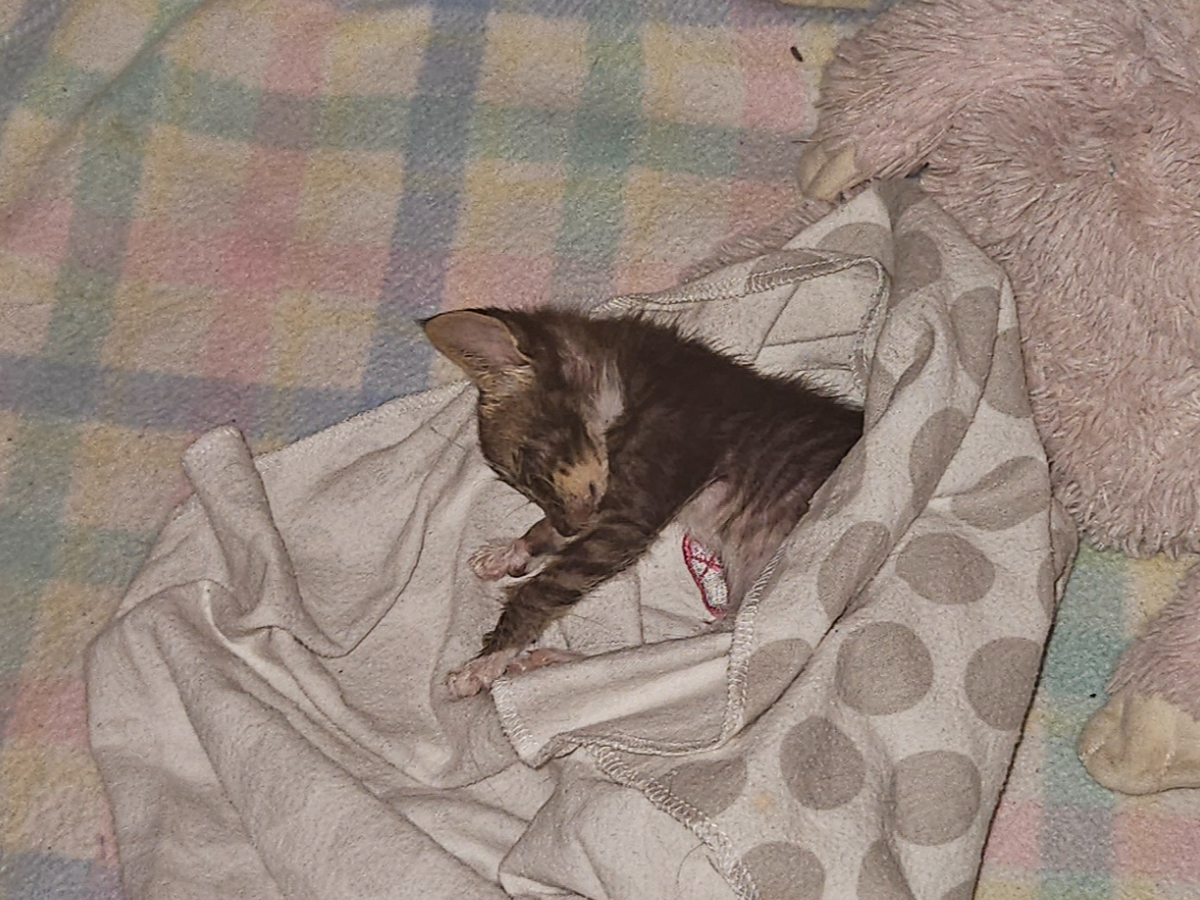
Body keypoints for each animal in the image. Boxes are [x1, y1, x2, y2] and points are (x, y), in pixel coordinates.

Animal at [423, 307, 863, 698]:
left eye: (530, 474)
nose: (570, 527)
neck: (627, 382)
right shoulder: (599, 503)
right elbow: (547, 533)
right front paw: (509, 552)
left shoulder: (628, 516)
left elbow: (541, 590)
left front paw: (485, 661)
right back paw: (552, 662)